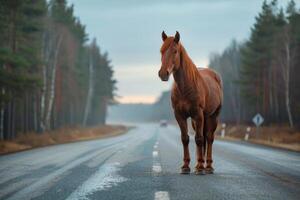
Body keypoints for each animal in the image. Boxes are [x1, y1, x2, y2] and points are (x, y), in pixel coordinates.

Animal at [158, 30, 221, 174]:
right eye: (161, 51)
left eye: (175, 51)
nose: (163, 73)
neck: (185, 88)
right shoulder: (180, 115)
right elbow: (185, 138)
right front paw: (186, 166)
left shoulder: (198, 114)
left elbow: (199, 139)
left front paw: (200, 167)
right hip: (198, 119)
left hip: (212, 116)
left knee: (209, 138)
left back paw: (208, 166)